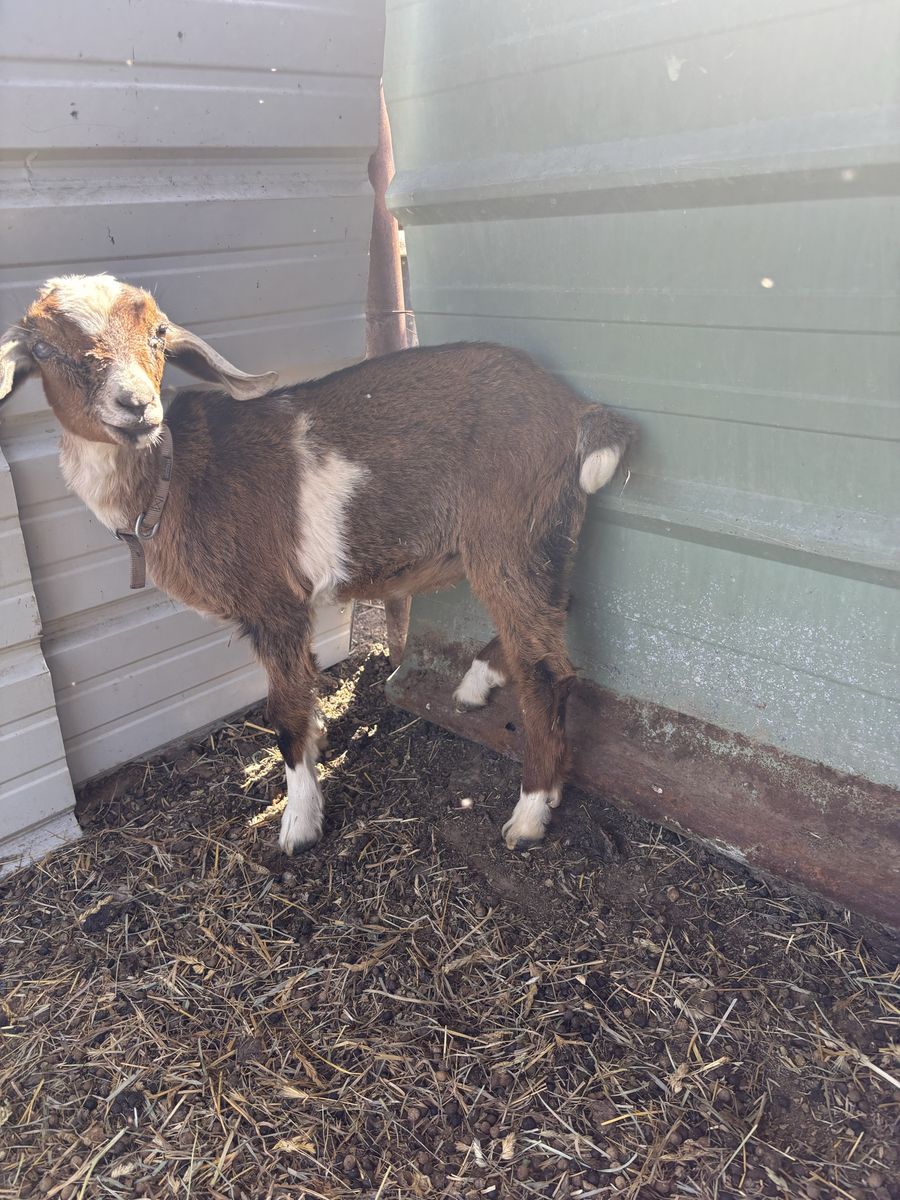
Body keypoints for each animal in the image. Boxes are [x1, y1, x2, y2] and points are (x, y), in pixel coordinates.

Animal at [0, 275, 635, 854]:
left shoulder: (273, 602)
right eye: (43, 350)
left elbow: (282, 714)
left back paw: (529, 813)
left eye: (157, 335)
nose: (136, 405)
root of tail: (577, 411)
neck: (178, 475)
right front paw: (320, 738)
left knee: (547, 669)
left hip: (508, 533)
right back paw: (479, 687)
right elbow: (304, 686)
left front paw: (299, 825)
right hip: (545, 537)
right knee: (558, 612)